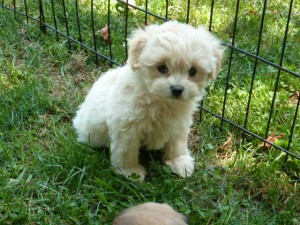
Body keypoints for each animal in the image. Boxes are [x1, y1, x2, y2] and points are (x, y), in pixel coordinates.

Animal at [72, 20, 223, 179]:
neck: (160, 100)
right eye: (162, 67)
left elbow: (177, 144)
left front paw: (179, 161)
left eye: (193, 71)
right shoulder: (126, 127)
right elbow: (126, 151)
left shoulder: (179, 124)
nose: (177, 89)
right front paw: (130, 171)